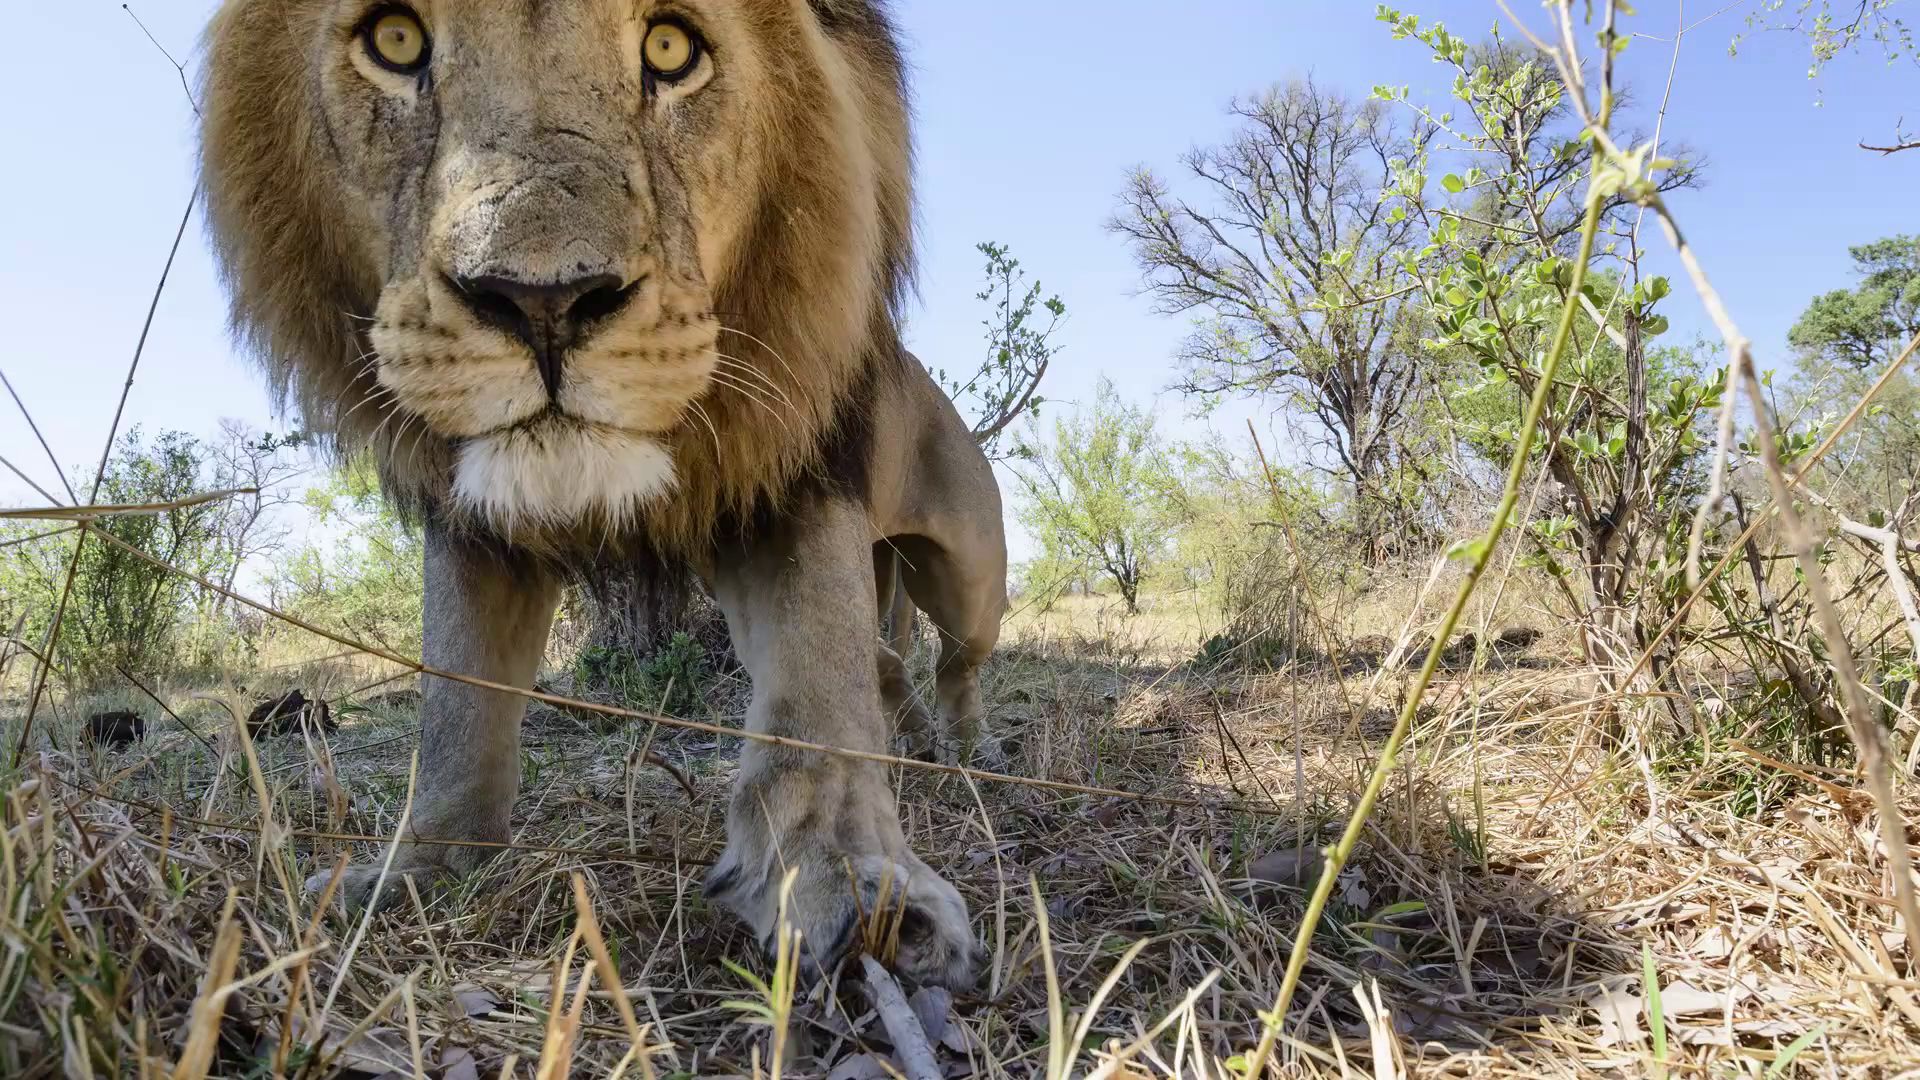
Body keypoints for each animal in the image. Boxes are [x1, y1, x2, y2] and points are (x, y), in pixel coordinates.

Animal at [198, 0, 1006, 991]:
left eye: (669, 47)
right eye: (396, 40)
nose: (543, 303)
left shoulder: (796, 476)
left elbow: (819, 686)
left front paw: (855, 888)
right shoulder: (475, 529)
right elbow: (457, 707)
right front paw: (417, 870)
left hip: (969, 579)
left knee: (954, 660)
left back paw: (968, 749)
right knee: (890, 660)